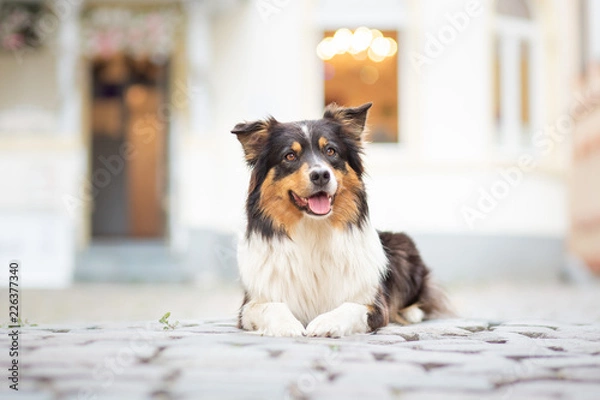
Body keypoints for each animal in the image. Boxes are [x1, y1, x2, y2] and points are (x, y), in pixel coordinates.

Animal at [232, 101, 448, 336]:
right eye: (289, 156)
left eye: (330, 151)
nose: (320, 175)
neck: (313, 230)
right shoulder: (248, 307)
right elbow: (272, 306)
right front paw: (286, 325)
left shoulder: (375, 304)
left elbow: (350, 306)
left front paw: (326, 322)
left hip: (403, 244)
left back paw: (411, 313)